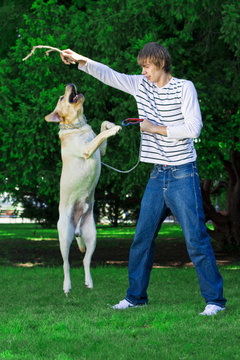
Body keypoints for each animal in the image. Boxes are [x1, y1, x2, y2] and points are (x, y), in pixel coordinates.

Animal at [44, 84, 121, 296]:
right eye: (62, 97)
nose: (70, 84)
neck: (78, 126)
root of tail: (77, 230)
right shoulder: (88, 149)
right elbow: (100, 135)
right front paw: (115, 129)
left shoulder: (100, 151)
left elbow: (102, 126)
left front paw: (111, 124)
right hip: (64, 237)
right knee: (66, 264)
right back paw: (67, 286)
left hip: (92, 236)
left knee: (86, 261)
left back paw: (89, 282)